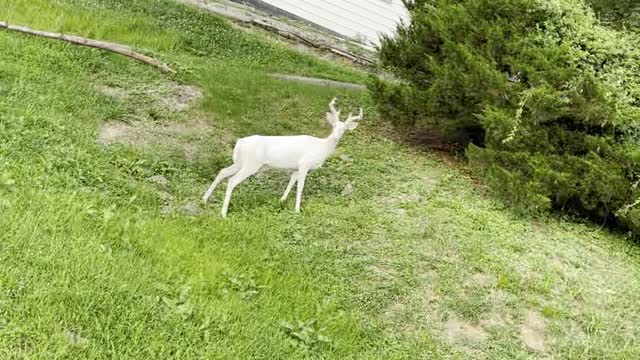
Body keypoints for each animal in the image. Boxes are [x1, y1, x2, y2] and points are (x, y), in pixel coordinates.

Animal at [202, 96, 362, 217]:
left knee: (223, 172)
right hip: (251, 164)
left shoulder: (296, 168)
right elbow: (300, 187)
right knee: (232, 180)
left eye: (343, 129)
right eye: (334, 126)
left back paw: (204, 199)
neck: (321, 148)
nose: (335, 136)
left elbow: (291, 182)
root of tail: (239, 143)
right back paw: (223, 213)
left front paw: (282, 200)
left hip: (241, 162)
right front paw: (297, 210)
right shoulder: (304, 164)